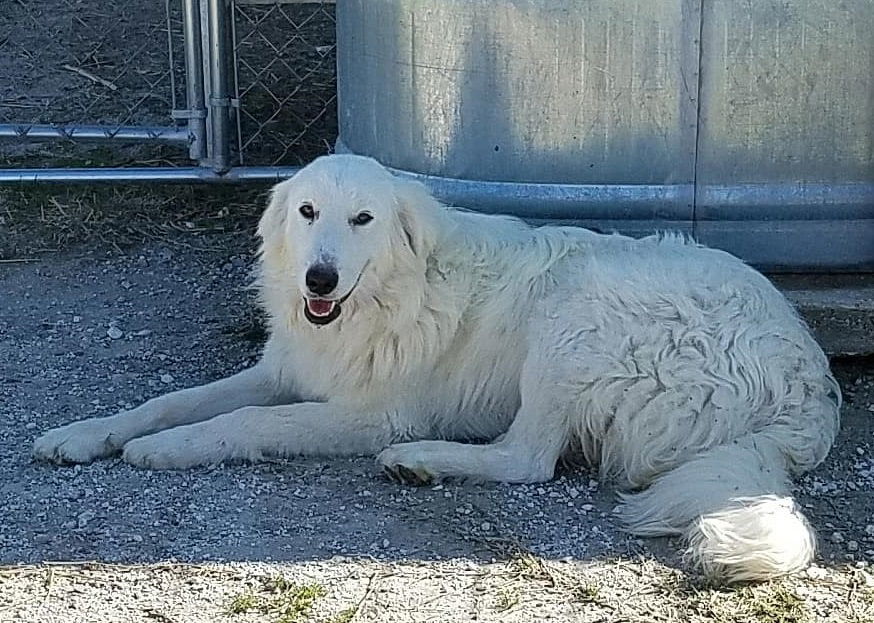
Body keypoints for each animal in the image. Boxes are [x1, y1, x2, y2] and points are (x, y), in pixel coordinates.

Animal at [35, 154, 836, 584]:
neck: (384, 294)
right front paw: (86, 433)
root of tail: (806, 390)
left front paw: (165, 450)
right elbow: (170, 399)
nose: (319, 278)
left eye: (362, 219)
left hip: (575, 311)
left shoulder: (366, 413)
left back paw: (419, 460)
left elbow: (245, 420)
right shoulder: (292, 368)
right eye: (307, 211)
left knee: (527, 461)